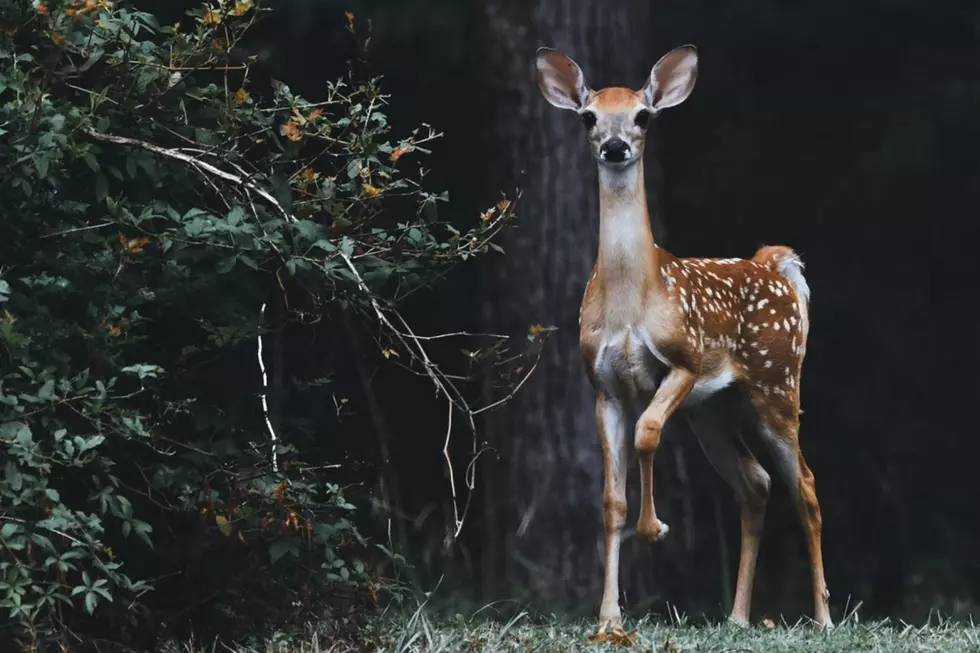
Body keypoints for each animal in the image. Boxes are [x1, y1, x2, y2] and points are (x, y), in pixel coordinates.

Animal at [536, 44, 836, 632]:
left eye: (643, 116)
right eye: (588, 117)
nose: (614, 146)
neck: (632, 301)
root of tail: (775, 264)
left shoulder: (684, 360)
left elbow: (648, 432)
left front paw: (655, 528)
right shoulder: (602, 385)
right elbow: (610, 500)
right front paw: (609, 617)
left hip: (776, 383)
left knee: (806, 486)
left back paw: (823, 617)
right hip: (714, 410)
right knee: (756, 482)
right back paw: (738, 618)